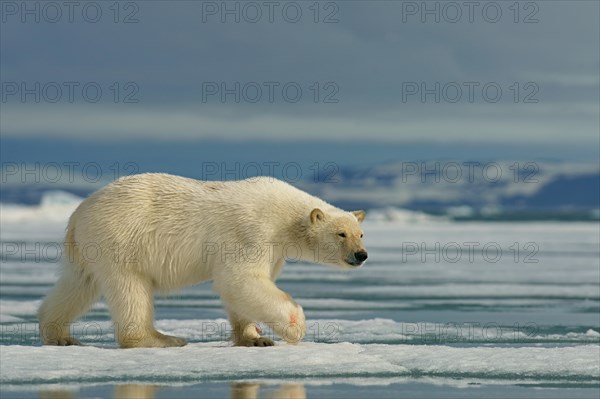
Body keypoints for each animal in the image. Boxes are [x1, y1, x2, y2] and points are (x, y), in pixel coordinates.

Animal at [38, 173, 366, 348]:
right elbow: (240, 279)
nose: (361, 255)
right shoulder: (252, 231)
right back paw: (161, 339)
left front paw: (254, 338)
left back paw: (59, 335)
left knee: (78, 284)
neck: (283, 216)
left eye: (360, 233)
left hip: (89, 249)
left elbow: (245, 289)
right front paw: (295, 325)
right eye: (341, 234)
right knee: (130, 289)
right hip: (121, 238)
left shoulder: (274, 249)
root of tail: (79, 212)